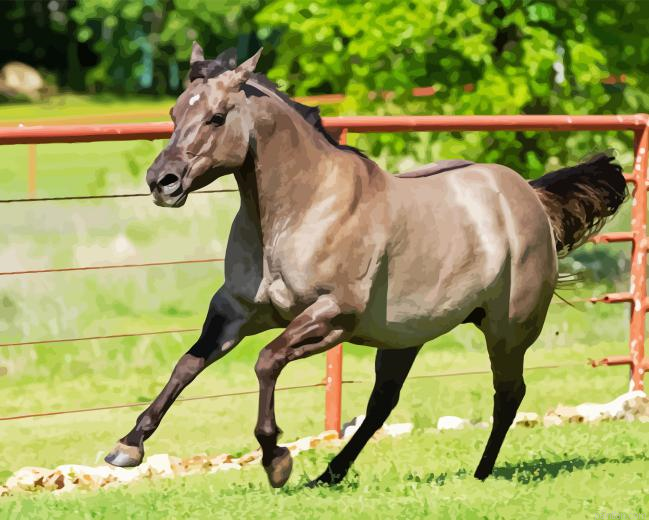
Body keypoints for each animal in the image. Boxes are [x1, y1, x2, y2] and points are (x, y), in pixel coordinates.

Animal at [105, 43, 626, 488]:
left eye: (216, 116)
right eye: (175, 113)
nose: (162, 182)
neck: (301, 211)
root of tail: (530, 197)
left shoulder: (332, 316)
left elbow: (266, 360)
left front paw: (277, 460)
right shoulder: (235, 310)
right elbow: (187, 365)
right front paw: (127, 447)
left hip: (508, 329)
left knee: (508, 395)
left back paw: (480, 474)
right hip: (406, 336)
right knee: (382, 405)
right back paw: (330, 474)